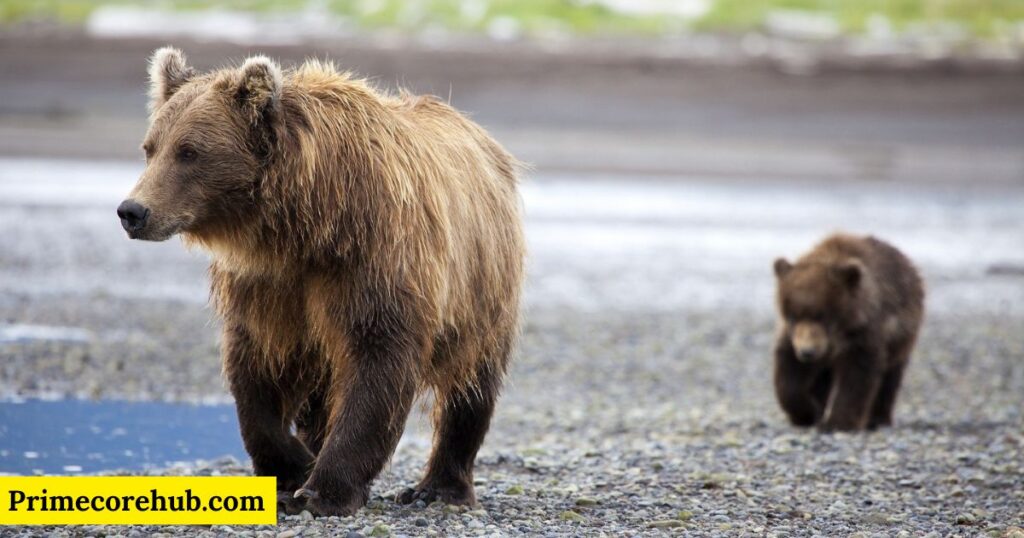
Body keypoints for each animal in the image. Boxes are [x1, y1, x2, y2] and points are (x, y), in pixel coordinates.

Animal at [116, 48, 524, 514]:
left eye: (189, 151)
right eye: (150, 148)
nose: (133, 211)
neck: (306, 224)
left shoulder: (374, 259)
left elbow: (377, 361)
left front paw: (324, 488)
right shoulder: (269, 284)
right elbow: (256, 368)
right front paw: (293, 466)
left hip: (482, 286)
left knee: (471, 384)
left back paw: (438, 487)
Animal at [770, 233, 925, 432]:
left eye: (823, 315)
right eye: (792, 316)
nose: (807, 352)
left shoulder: (863, 333)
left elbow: (857, 376)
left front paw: (837, 423)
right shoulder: (793, 336)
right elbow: (790, 374)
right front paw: (808, 412)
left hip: (901, 336)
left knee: (890, 376)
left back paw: (877, 419)